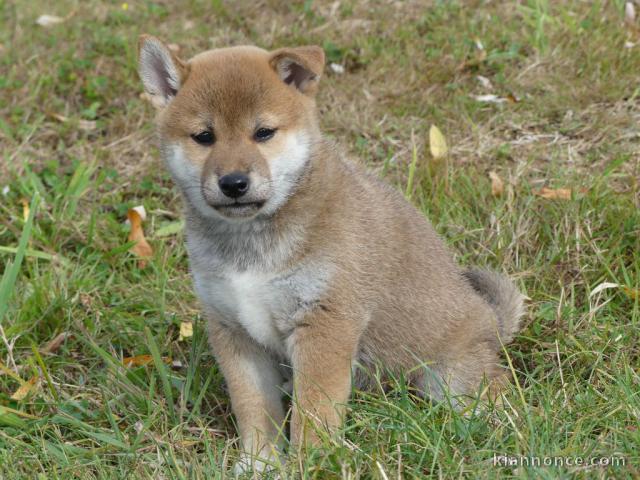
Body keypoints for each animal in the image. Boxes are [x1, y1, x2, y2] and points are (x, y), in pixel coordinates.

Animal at [138, 34, 524, 472]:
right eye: (204, 136)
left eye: (263, 132)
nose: (234, 183)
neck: (251, 242)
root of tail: (490, 319)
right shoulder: (233, 330)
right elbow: (254, 406)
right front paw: (259, 462)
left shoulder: (326, 323)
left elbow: (314, 412)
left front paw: (312, 464)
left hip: (451, 378)